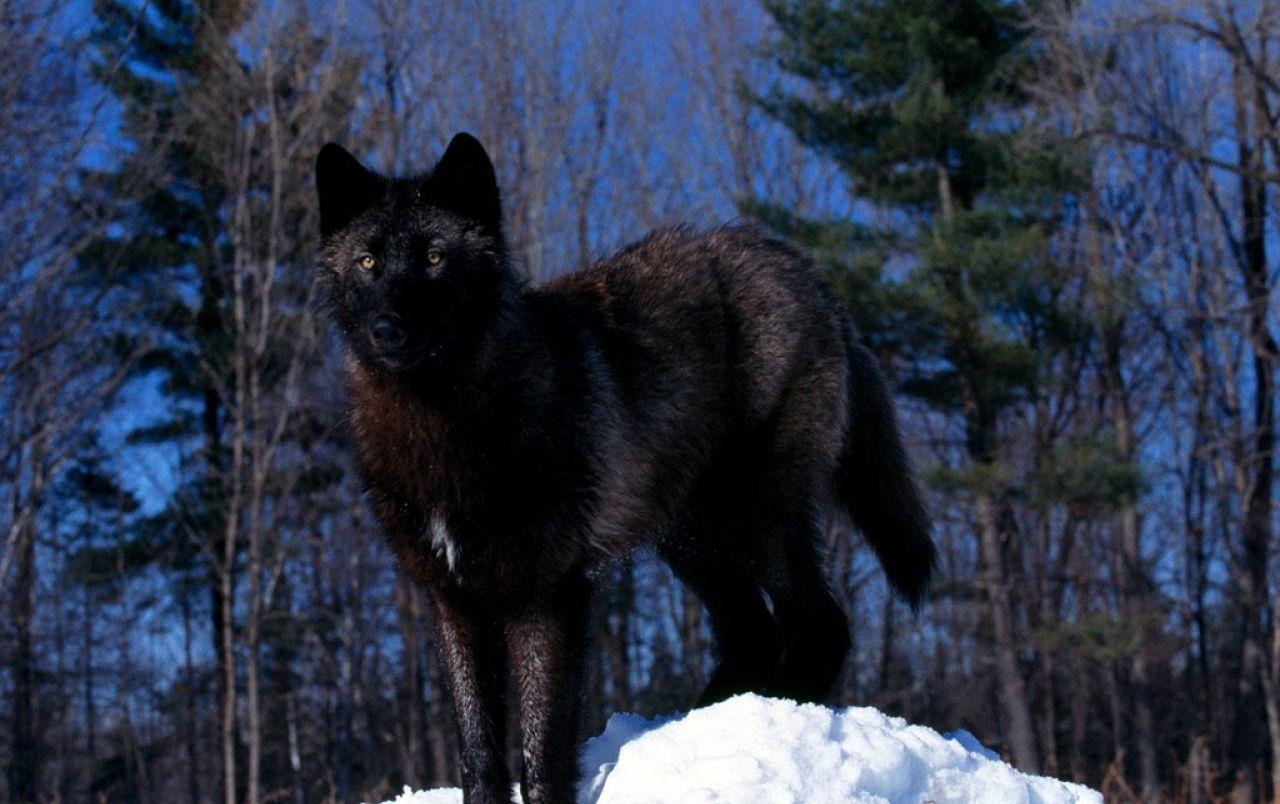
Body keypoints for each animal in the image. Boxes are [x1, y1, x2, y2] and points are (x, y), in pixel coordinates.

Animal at [314, 133, 934, 804]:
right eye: (368, 263)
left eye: (433, 258)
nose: (388, 329)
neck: (445, 426)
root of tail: (806, 272)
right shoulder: (454, 601)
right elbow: (478, 753)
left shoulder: (548, 596)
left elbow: (541, 751)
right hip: (692, 539)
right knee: (754, 633)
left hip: (762, 514)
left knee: (822, 623)